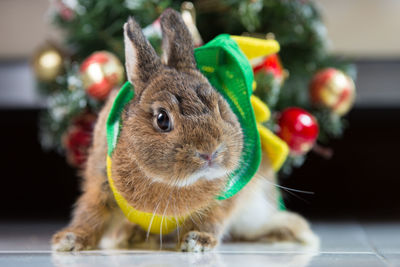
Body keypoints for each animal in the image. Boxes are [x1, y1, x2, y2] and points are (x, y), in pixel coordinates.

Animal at [52, 8, 318, 253]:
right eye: (162, 119)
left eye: (220, 108)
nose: (210, 153)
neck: (170, 182)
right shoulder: (100, 184)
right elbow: (91, 214)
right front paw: (68, 240)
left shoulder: (223, 198)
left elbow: (211, 219)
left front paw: (197, 241)